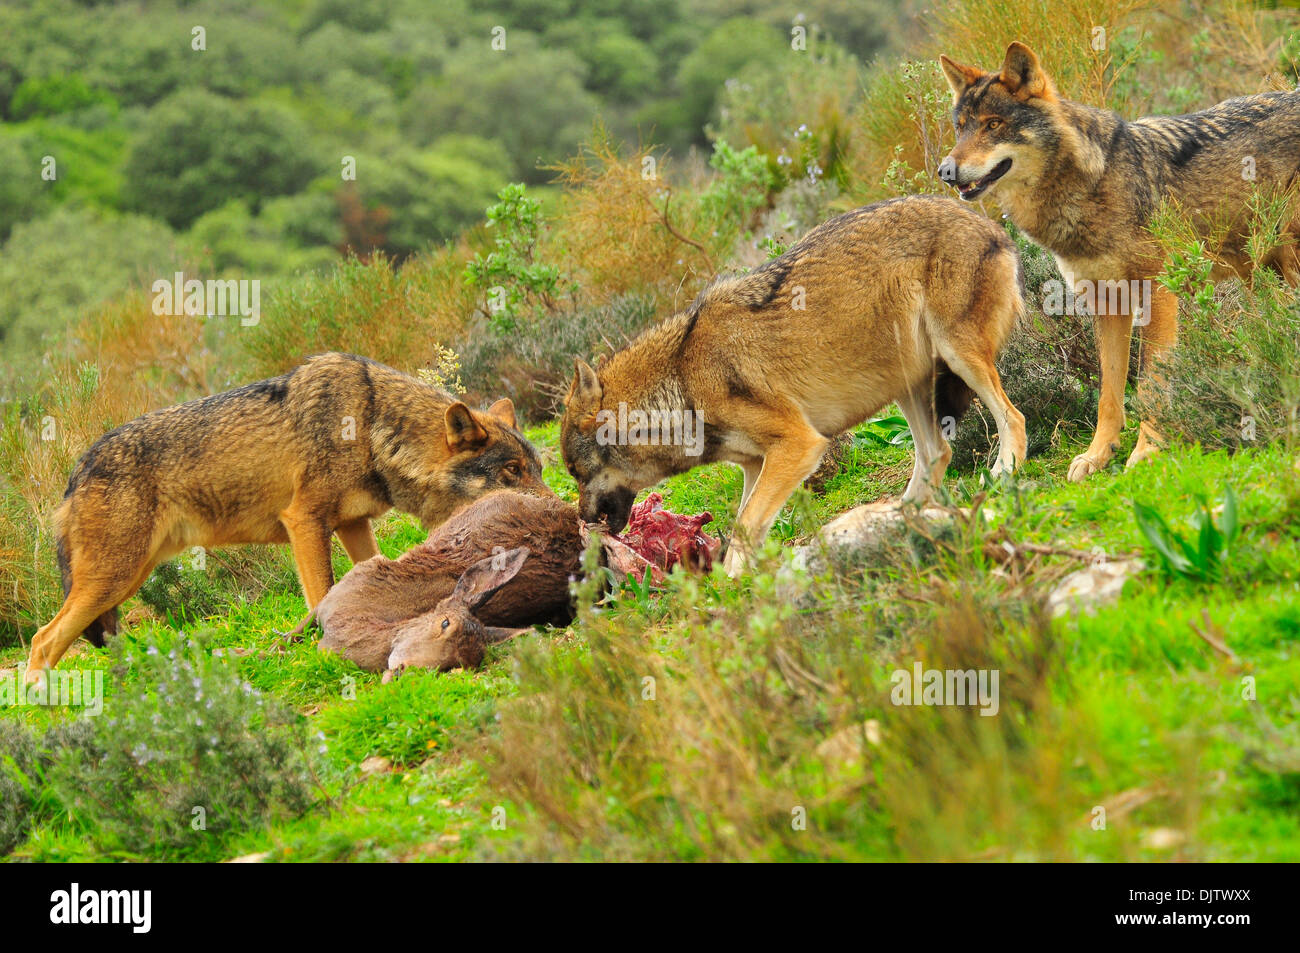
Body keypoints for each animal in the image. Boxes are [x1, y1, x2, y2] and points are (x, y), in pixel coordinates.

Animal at [564, 193, 1029, 572]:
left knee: (1014, 418)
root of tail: (992, 225)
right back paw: (898, 517)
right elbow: (743, 523)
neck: (682, 379)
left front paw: (730, 584)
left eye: (575, 473)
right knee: (937, 452)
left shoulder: (800, 445)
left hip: (958, 357)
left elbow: (747, 524)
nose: (582, 520)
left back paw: (1000, 477)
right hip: (907, 385)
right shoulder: (755, 465)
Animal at [941, 40, 1300, 478]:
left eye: (993, 125)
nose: (945, 170)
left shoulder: (1158, 293)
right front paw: (1098, 455)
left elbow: (1151, 383)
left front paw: (1147, 452)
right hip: (1266, 271)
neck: (1089, 188)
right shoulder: (1106, 302)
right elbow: (1109, 393)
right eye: (961, 128)